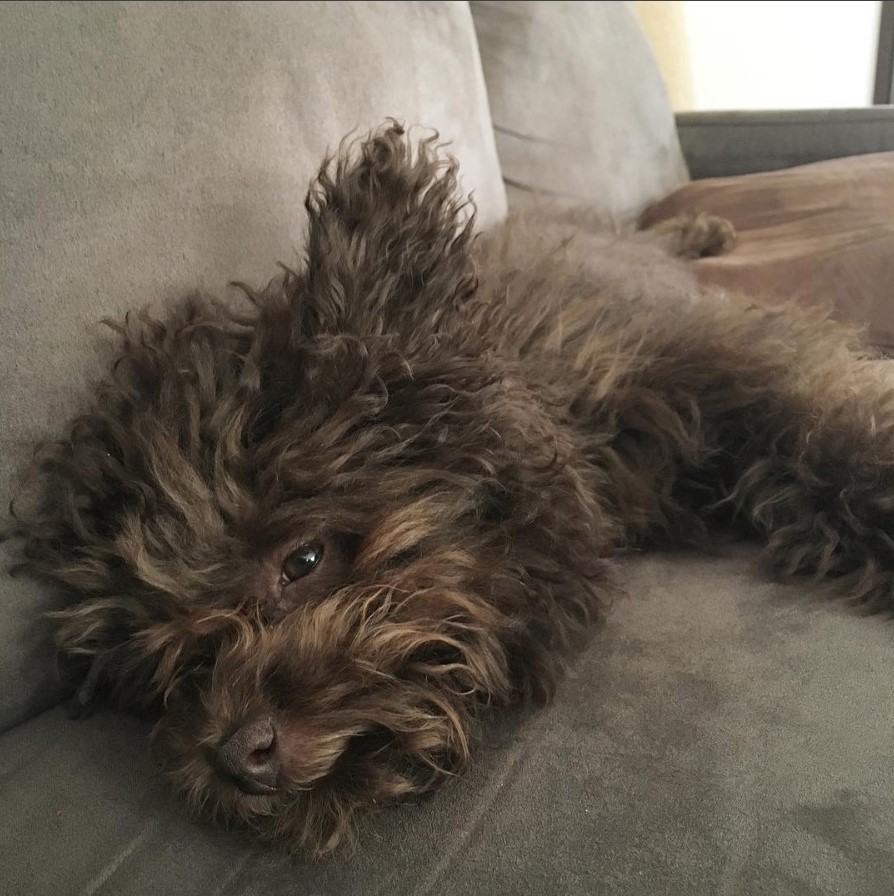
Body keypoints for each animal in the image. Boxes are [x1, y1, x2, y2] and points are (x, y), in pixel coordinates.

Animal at [7, 122, 894, 856]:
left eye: (303, 560)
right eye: (179, 667)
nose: (233, 756)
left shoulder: (718, 364)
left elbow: (825, 428)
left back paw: (703, 229)